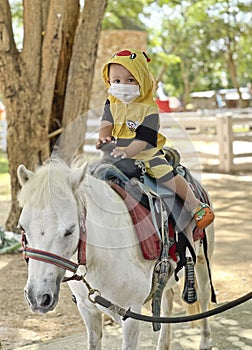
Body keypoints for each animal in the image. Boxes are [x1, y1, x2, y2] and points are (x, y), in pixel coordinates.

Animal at [17, 158, 215, 350]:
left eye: (69, 231)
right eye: (22, 228)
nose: (38, 297)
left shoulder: (131, 316)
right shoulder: (87, 310)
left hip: (202, 260)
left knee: (204, 294)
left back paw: (205, 341)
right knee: (167, 299)